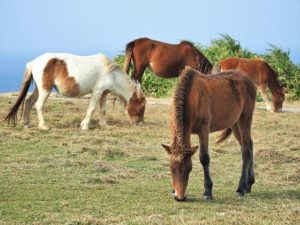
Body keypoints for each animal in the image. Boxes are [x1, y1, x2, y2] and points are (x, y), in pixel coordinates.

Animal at [2, 53, 146, 130]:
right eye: (141, 108)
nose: (139, 124)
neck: (110, 73)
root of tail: (33, 63)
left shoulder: (103, 93)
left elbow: (103, 109)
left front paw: (104, 125)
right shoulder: (97, 91)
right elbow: (92, 108)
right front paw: (85, 125)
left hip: (39, 89)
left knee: (28, 102)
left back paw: (26, 124)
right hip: (45, 90)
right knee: (39, 105)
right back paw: (43, 126)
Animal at [163, 67, 256, 202]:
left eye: (188, 169)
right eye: (171, 169)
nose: (180, 197)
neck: (191, 98)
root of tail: (248, 79)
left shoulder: (203, 130)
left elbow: (204, 158)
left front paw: (208, 191)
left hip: (245, 119)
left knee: (246, 151)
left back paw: (240, 188)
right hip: (234, 123)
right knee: (249, 145)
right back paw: (249, 184)